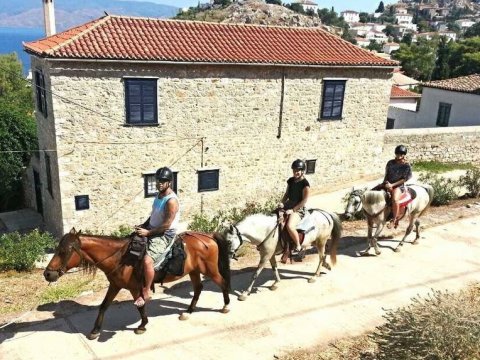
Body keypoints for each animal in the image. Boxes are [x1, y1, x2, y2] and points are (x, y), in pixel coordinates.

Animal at [43, 229, 231, 338]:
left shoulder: (134, 288)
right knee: (198, 288)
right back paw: (189, 311)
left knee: (222, 283)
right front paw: (95, 330)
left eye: (63, 251)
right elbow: (103, 306)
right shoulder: (115, 285)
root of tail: (208, 236)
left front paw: (142, 325)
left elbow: (140, 306)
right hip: (194, 270)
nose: (47, 274)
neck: (120, 258)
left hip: (210, 269)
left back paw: (226, 306)